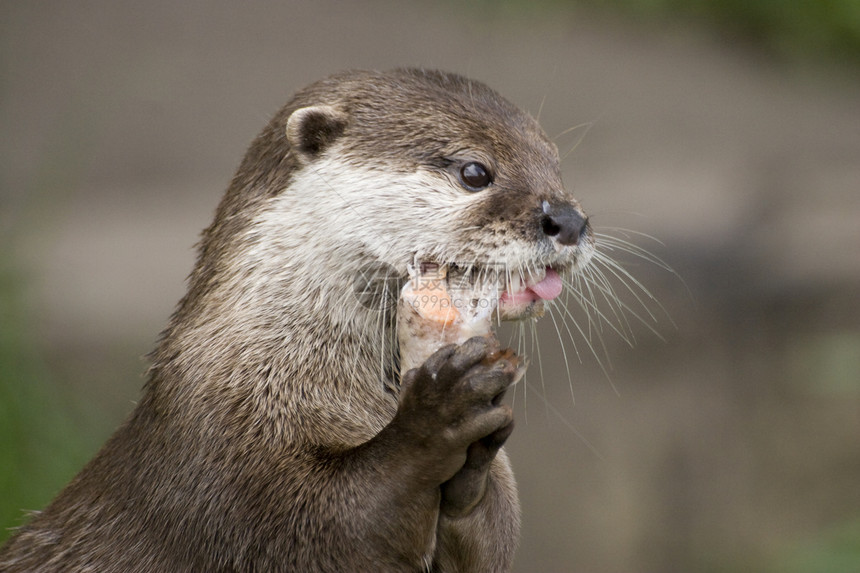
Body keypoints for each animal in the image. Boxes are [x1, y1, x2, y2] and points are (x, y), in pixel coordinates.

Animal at [0, 69, 592, 568]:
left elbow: (488, 545)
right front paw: (438, 414)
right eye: (474, 172)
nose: (569, 219)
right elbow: (339, 522)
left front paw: (479, 453)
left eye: (557, 164)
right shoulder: (227, 470)